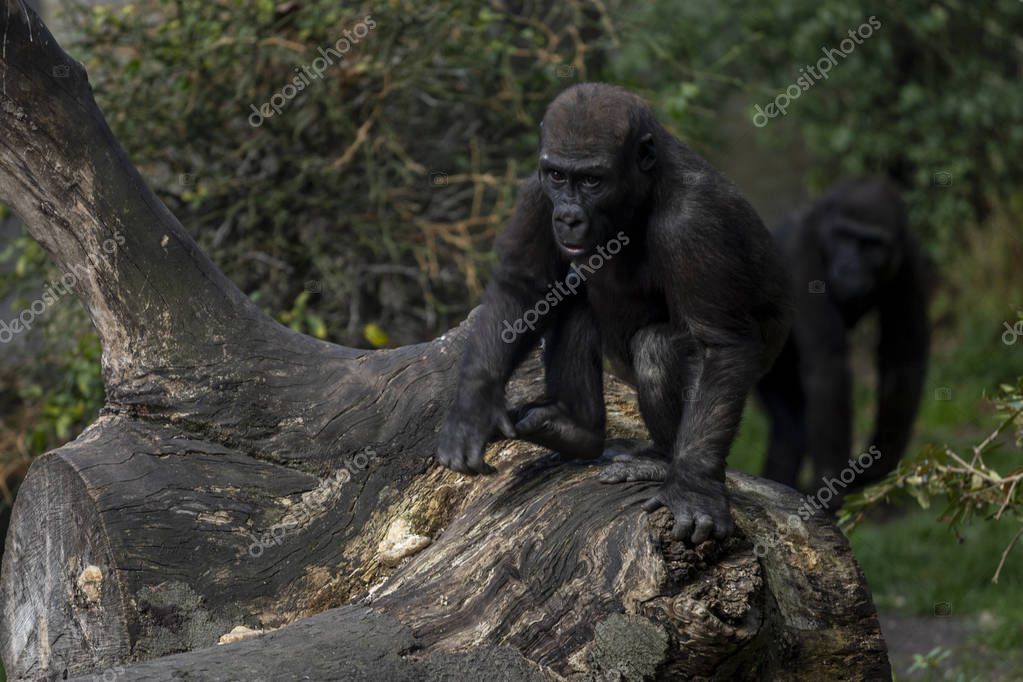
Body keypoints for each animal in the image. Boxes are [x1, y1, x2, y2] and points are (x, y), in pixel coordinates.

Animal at [433, 83, 789, 543]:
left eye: (592, 179)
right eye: (558, 176)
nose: (568, 216)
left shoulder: (695, 219)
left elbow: (717, 345)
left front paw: (694, 487)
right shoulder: (537, 192)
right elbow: (526, 287)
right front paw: (473, 408)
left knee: (658, 349)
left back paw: (662, 461)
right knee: (571, 301)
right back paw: (578, 430)